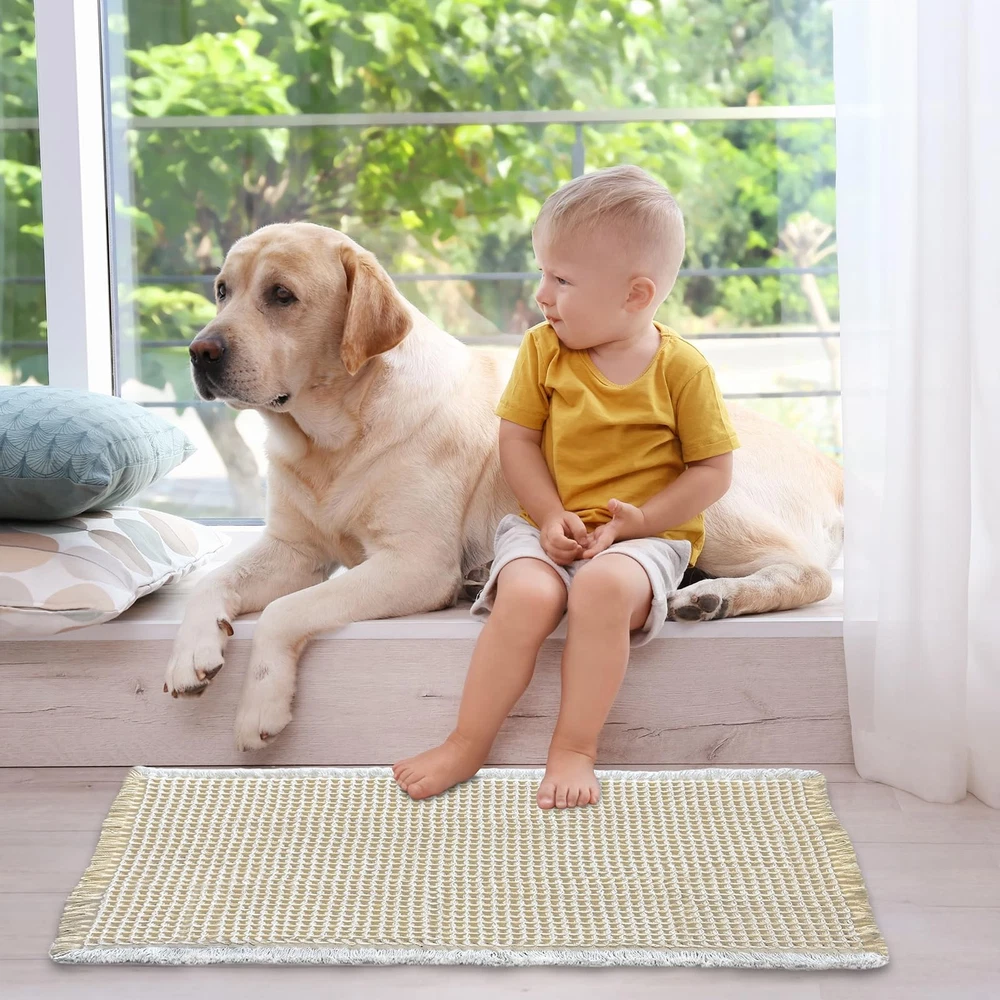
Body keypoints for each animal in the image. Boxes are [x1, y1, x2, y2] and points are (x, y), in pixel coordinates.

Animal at [164, 222, 843, 751]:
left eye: (282, 296)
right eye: (222, 290)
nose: (199, 352)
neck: (332, 439)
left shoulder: (413, 565)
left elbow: (285, 612)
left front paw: (260, 706)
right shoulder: (293, 549)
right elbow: (216, 582)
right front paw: (190, 650)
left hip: (707, 499)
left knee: (809, 572)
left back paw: (716, 595)